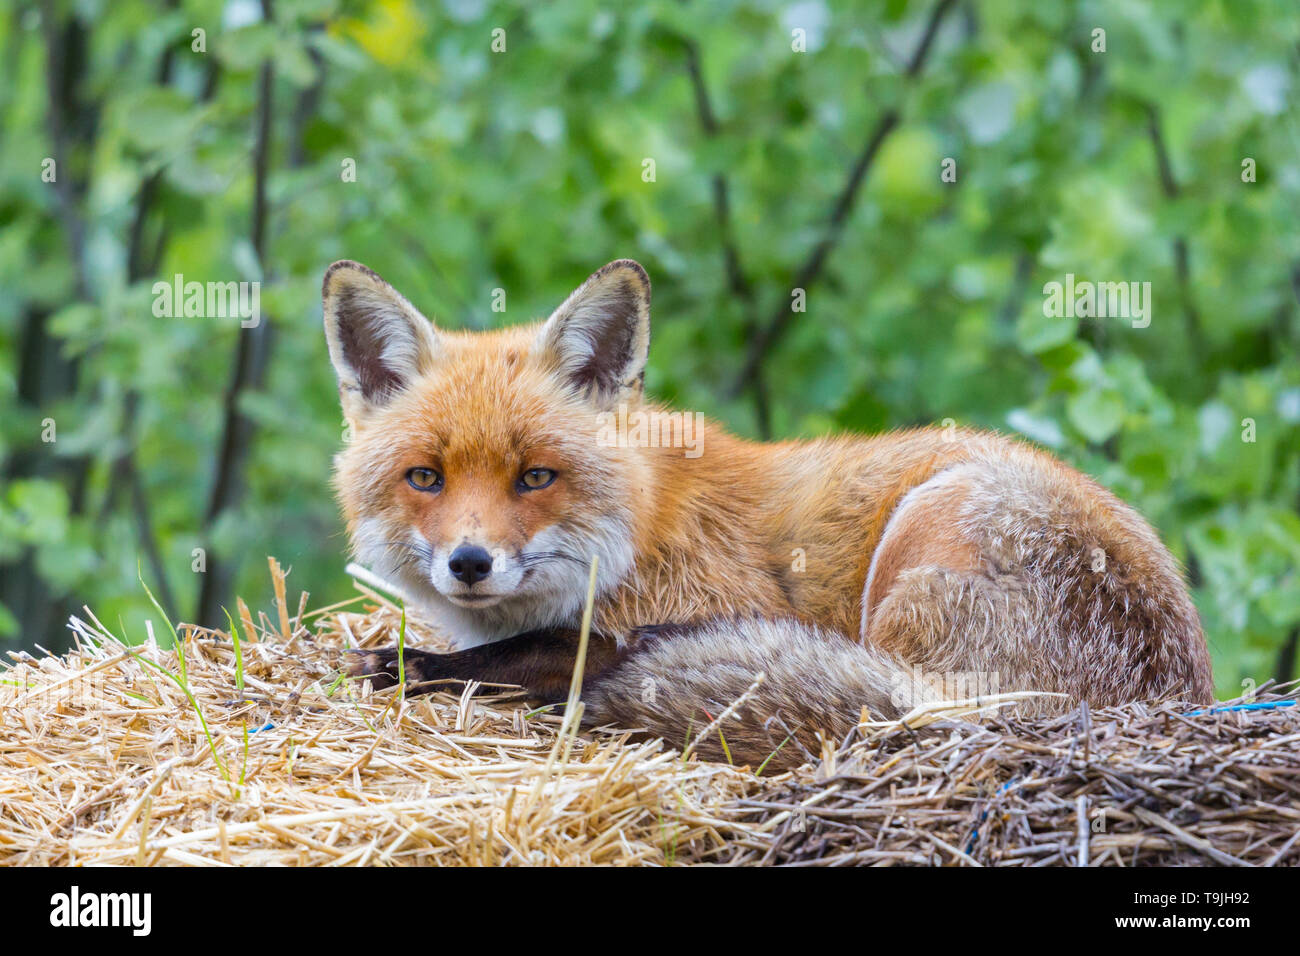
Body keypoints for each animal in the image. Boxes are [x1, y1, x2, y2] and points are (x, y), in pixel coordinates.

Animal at [319, 256, 1211, 770]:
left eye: (536, 477)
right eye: (426, 478)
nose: (469, 563)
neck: (638, 529)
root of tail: (1172, 694)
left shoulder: (711, 601)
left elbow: (532, 655)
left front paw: (410, 666)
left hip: (929, 543)